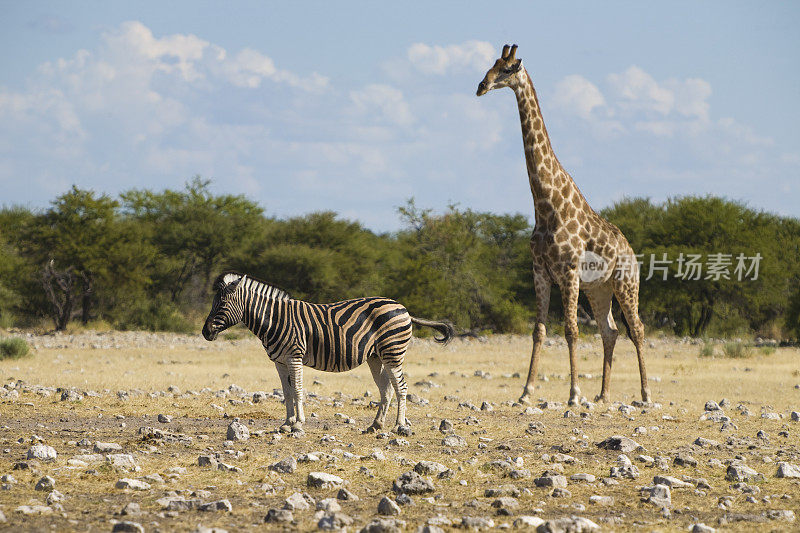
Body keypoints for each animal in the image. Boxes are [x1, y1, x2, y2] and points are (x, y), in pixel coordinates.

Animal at [200, 270, 454, 432]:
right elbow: (286, 393)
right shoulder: (279, 361)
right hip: (376, 357)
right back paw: (376, 425)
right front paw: (286, 423)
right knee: (387, 389)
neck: (274, 319)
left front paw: (298, 424)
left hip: (393, 353)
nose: (205, 332)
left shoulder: (294, 356)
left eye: (222, 304)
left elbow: (298, 390)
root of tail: (403, 308)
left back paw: (399, 425)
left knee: (401, 387)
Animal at [476, 44, 648, 404]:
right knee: (611, 331)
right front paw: (526, 392)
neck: (545, 204)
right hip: (599, 289)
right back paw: (603, 395)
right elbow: (539, 330)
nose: (481, 87)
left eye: (508, 69)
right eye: (490, 65)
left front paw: (573, 393)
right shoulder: (540, 271)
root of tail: (631, 251)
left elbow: (570, 329)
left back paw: (644, 393)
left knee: (637, 329)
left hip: (626, 283)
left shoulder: (567, 271)